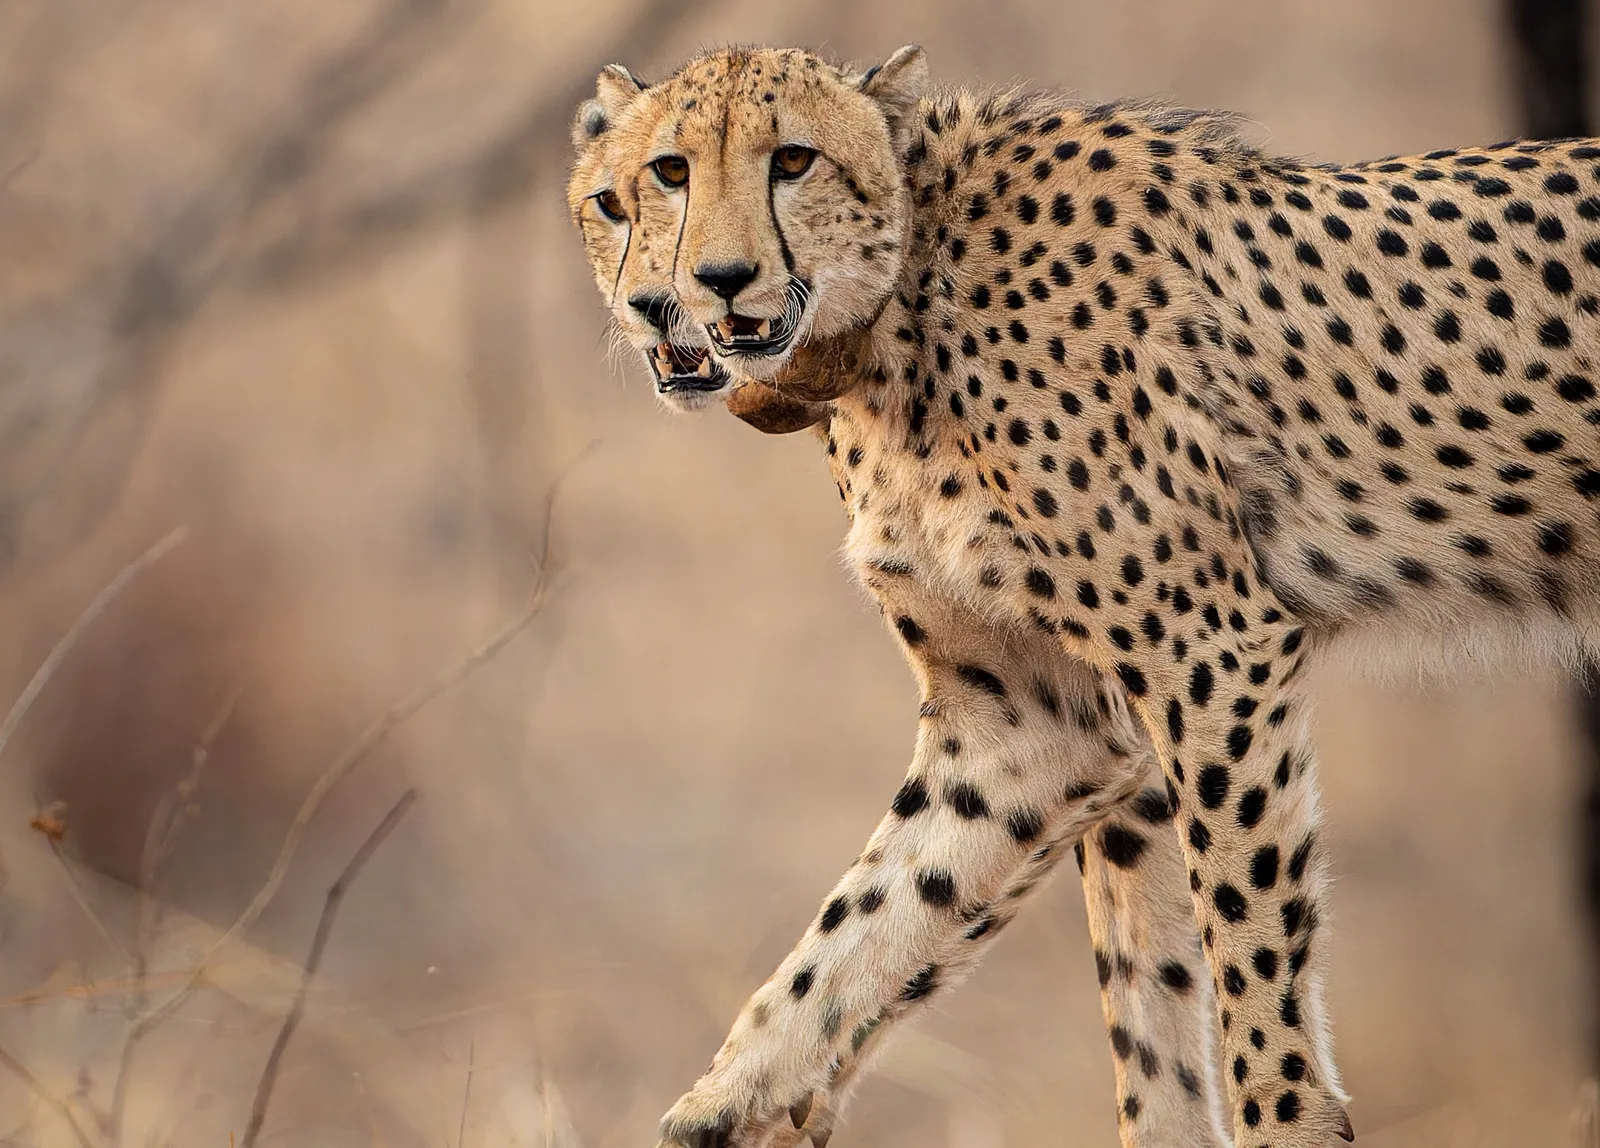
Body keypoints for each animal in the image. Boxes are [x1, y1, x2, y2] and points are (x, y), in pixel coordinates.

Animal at [567, 41, 1600, 1148]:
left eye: (792, 160)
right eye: (634, 190)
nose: (690, 293)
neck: (898, 318)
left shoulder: (1209, 651)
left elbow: (1244, 946)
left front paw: (1286, 1117)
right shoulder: (1031, 721)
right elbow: (884, 920)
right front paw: (735, 1104)